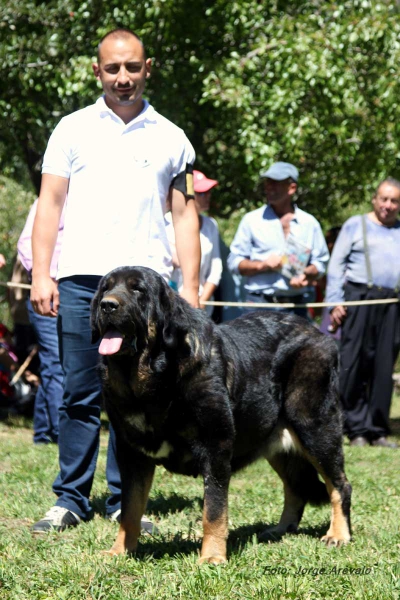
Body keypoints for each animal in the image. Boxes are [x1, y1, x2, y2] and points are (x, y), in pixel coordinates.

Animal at [90, 266, 350, 564]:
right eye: (106, 288)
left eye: (138, 290)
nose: (107, 304)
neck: (154, 381)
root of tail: (321, 335)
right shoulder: (132, 455)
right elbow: (130, 509)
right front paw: (120, 551)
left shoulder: (215, 448)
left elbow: (213, 511)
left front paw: (212, 557)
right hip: (277, 444)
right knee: (296, 488)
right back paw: (280, 529)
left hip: (315, 429)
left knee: (339, 485)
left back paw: (338, 535)